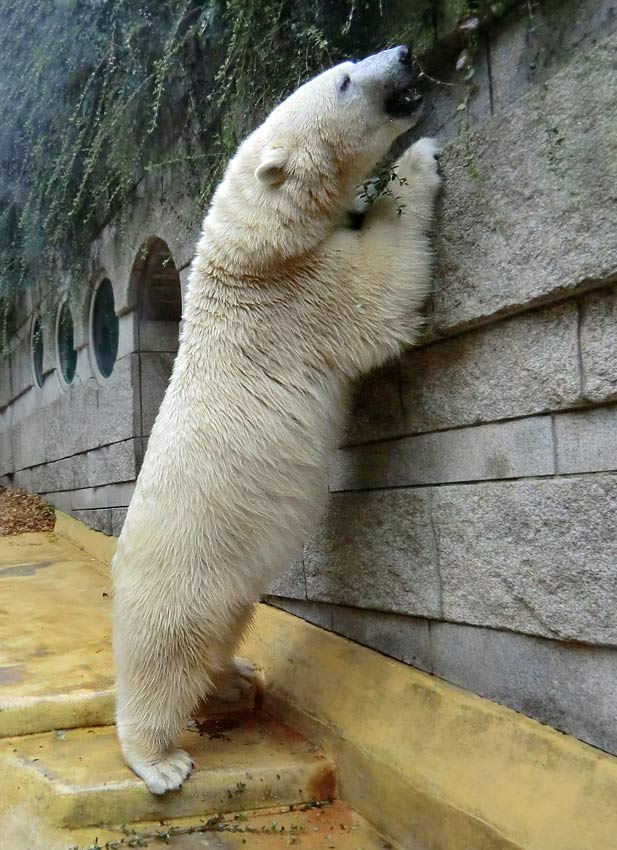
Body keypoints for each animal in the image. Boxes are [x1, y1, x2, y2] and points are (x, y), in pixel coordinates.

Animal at [110, 46, 438, 792]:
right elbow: (379, 295)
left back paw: (233, 676)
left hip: (226, 583)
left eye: (349, 62)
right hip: (180, 571)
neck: (248, 251)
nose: (404, 54)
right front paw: (419, 163)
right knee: (161, 658)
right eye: (344, 81)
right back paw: (159, 759)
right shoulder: (299, 295)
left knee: (220, 632)